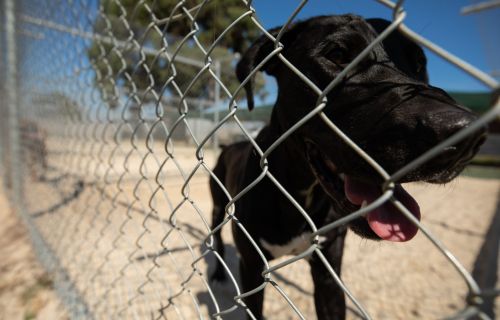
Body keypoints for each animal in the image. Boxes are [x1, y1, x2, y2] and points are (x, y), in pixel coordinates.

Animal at [207, 15, 484, 320]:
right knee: (216, 240)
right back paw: (218, 273)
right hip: (218, 207)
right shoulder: (252, 269)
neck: (300, 193)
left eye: (420, 64)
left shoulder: (329, 273)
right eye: (337, 55)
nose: (467, 137)